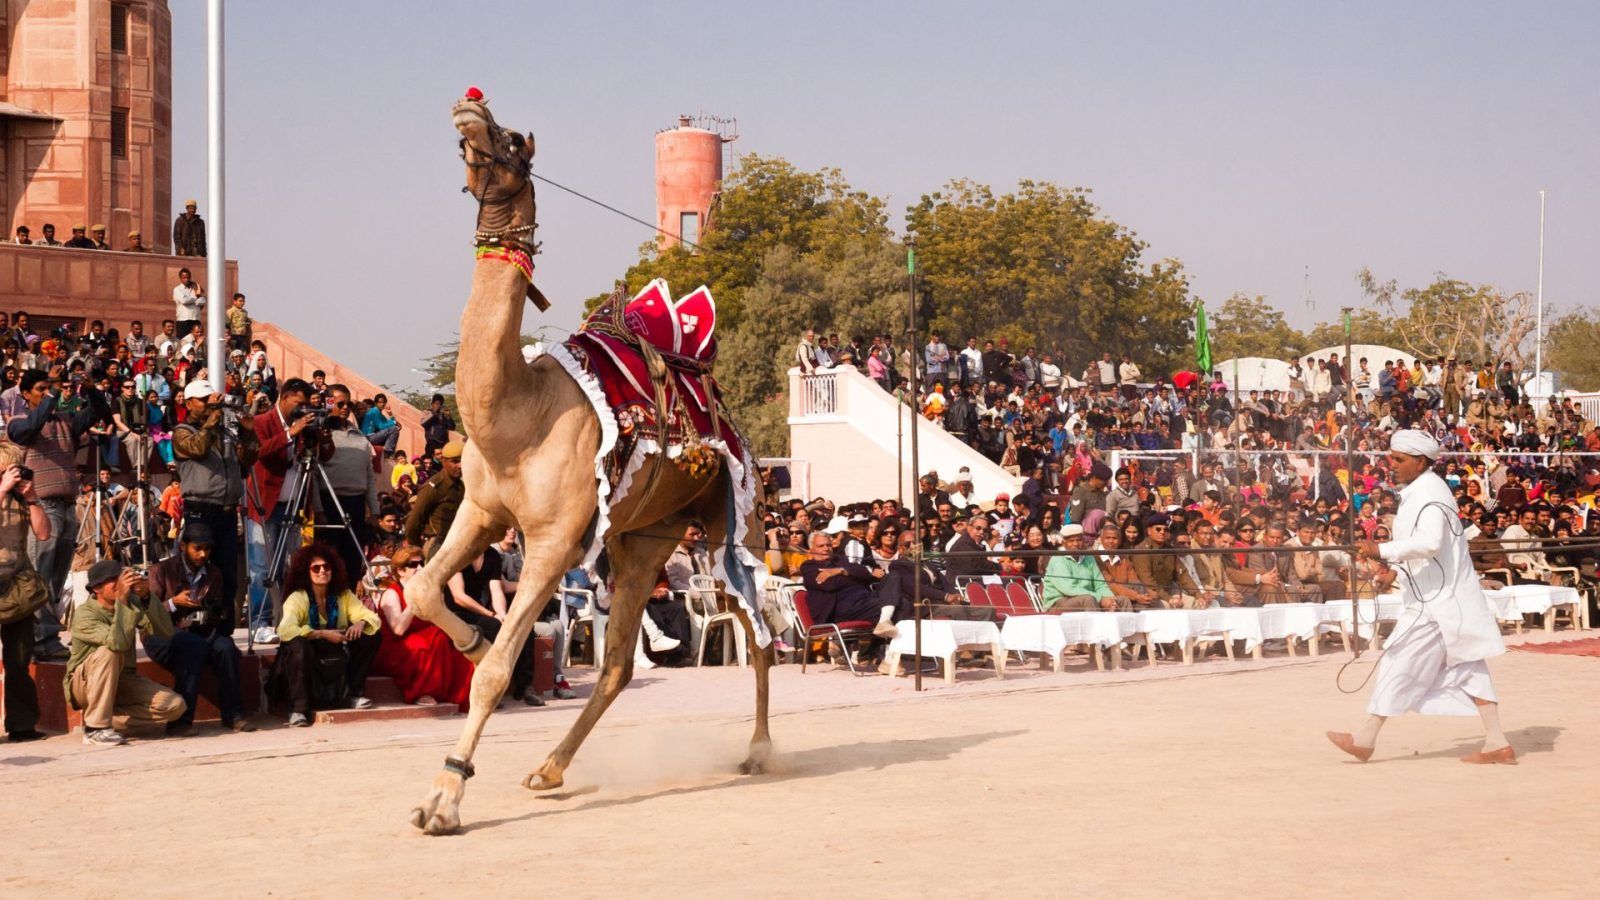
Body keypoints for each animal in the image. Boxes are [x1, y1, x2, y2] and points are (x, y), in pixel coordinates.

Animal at [403, 92, 771, 832]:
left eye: (514, 142)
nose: (470, 107)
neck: (516, 414)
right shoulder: (483, 511)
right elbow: (423, 589)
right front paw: (471, 642)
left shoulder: (553, 539)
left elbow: (496, 671)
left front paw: (444, 797)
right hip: (645, 538)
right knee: (620, 663)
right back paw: (548, 769)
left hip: (732, 521)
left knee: (763, 632)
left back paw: (760, 751)